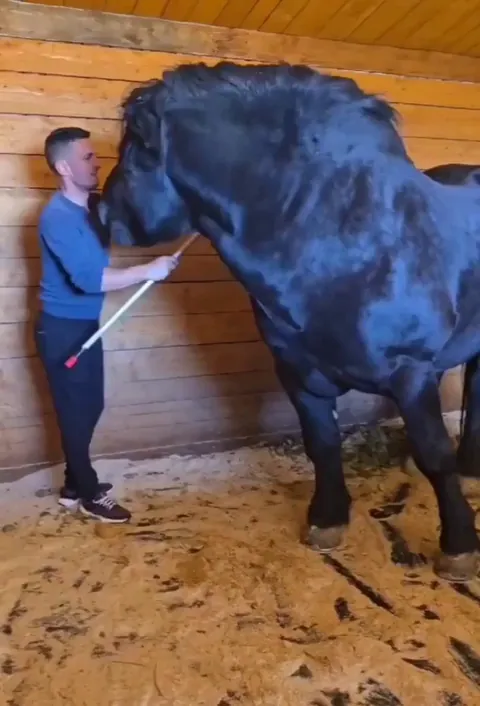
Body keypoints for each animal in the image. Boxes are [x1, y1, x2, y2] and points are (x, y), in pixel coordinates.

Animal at [94, 61, 480, 582]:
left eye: (135, 153)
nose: (99, 213)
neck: (337, 237)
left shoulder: (412, 371)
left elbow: (434, 455)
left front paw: (459, 545)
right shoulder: (299, 374)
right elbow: (322, 445)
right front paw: (328, 520)